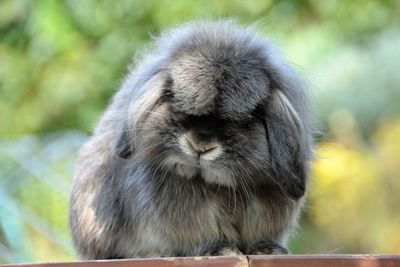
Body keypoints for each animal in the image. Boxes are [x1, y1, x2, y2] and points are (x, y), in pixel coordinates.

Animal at [69, 20, 312, 260]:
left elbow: (260, 236)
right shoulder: (188, 218)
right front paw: (220, 250)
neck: (219, 186)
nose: (200, 146)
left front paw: (268, 250)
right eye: (175, 101)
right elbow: (204, 236)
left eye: (246, 119)